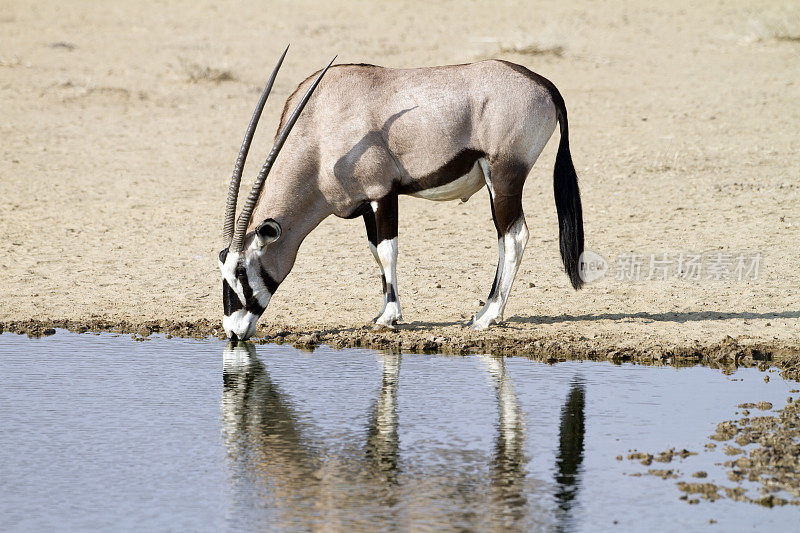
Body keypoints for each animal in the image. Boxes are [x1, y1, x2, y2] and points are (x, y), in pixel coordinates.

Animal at [219, 44, 580, 336]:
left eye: (243, 272)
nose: (234, 331)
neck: (319, 130)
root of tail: (544, 85)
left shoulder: (382, 193)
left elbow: (387, 250)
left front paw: (389, 317)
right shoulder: (364, 204)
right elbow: (374, 250)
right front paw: (382, 312)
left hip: (504, 178)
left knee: (514, 236)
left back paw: (488, 316)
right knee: (505, 238)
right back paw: (485, 311)